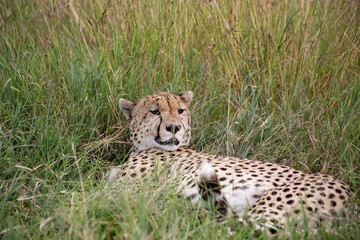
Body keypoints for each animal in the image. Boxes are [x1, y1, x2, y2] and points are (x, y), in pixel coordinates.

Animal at [107, 91, 354, 235]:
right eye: (155, 112)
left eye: (180, 111)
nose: (174, 127)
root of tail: (351, 197)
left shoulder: (126, 192)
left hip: (269, 209)